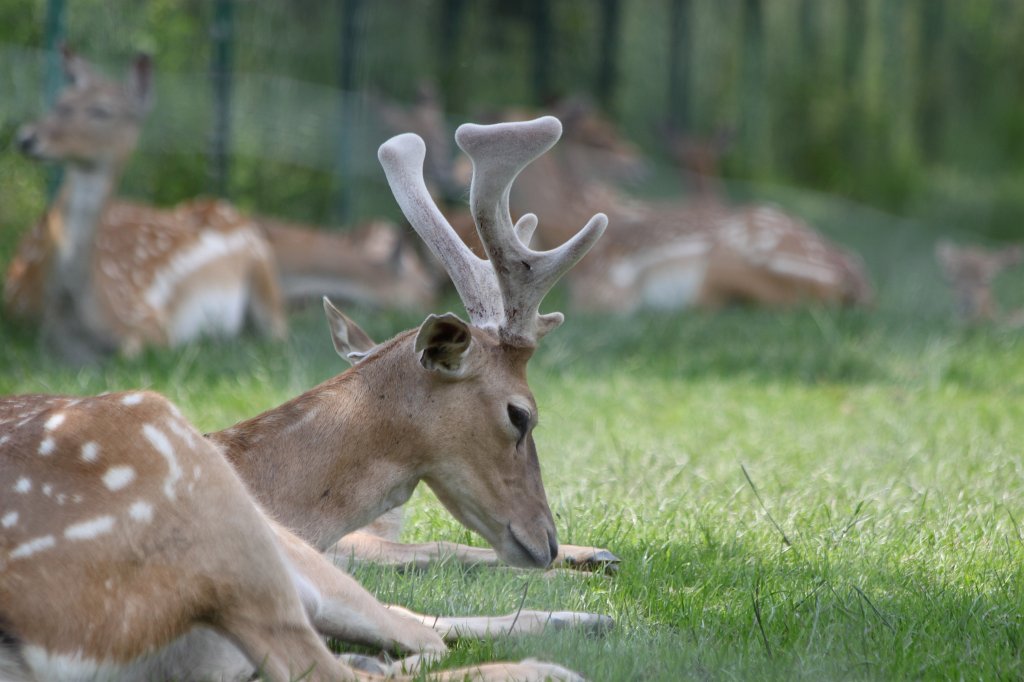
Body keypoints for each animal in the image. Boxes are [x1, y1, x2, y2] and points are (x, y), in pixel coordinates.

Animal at [8, 49, 287, 363]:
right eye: (59, 101)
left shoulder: (149, 320)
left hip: (264, 274)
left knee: (279, 332)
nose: (27, 137)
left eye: (101, 111)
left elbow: (131, 351)